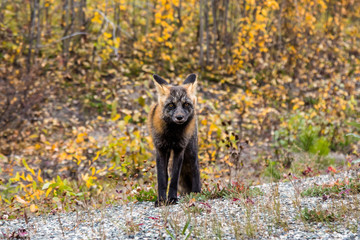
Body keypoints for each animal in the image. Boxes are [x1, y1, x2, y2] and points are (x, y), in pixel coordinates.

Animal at [148, 73, 201, 206]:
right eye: (171, 105)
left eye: (186, 104)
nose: (179, 117)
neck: (172, 134)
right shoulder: (161, 149)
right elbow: (162, 179)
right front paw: (161, 200)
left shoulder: (179, 149)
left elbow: (174, 178)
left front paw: (172, 198)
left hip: (191, 151)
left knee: (195, 169)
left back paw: (196, 193)